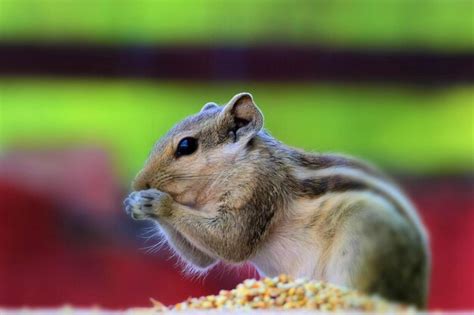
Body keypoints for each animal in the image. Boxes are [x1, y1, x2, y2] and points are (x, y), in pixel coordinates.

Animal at [124, 92, 432, 308]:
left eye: (186, 146)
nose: (138, 183)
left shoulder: (257, 190)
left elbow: (232, 243)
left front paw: (158, 202)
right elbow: (202, 259)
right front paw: (135, 202)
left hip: (362, 249)